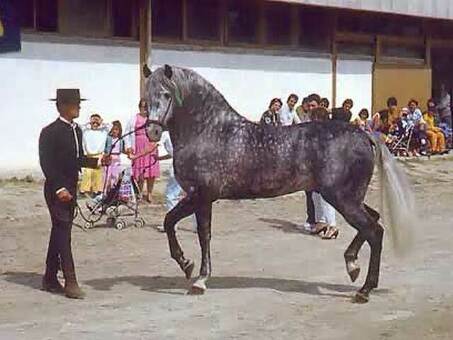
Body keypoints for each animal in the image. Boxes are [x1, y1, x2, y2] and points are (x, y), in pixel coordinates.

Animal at [144, 63, 414, 302]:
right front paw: (195, 272)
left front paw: (192, 271)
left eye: (166, 94)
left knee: (374, 231)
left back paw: (364, 289)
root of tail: (364, 134)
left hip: (342, 199)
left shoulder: (201, 195)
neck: (211, 131)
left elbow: (176, 224)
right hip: (350, 197)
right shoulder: (203, 198)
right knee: (373, 221)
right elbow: (198, 232)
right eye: (146, 95)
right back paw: (352, 265)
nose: (152, 132)